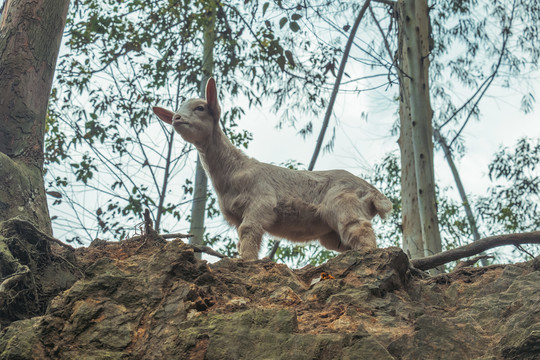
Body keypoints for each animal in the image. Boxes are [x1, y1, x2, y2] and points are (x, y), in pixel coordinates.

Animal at [152, 78, 392, 258]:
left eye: (200, 108)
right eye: (177, 110)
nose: (176, 118)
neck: (234, 169)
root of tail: (373, 192)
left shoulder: (261, 202)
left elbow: (248, 232)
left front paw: (247, 261)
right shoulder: (237, 215)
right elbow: (241, 238)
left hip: (344, 203)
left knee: (358, 228)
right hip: (330, 231)